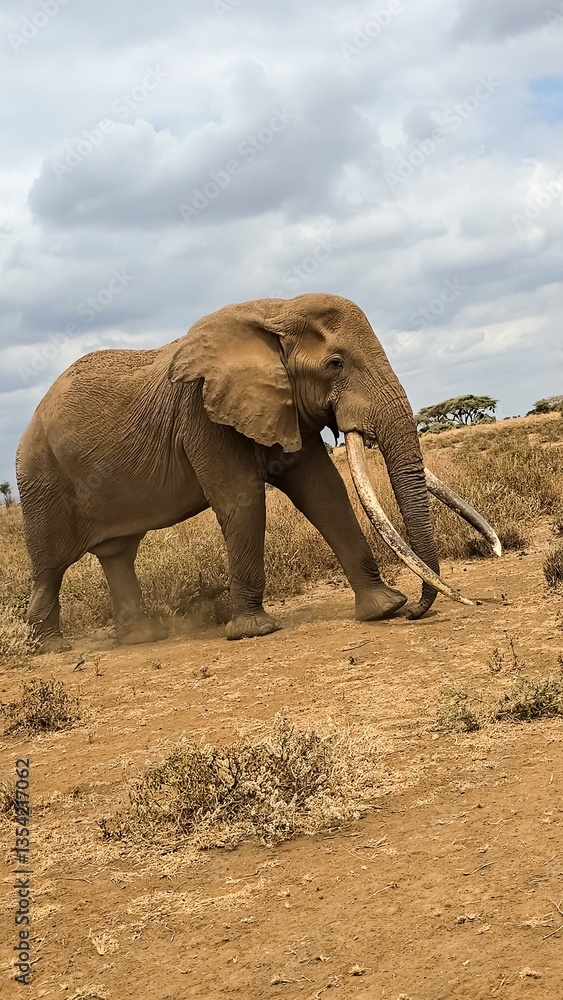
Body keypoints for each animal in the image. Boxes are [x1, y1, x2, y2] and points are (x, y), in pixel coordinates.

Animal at [16, 293, 501, 651]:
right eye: (336, 364)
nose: (419, 610)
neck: (274, 312)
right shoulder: (202, 414)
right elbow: (244, 500)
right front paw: (252, 632)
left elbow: (324, 492)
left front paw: (383, 609)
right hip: (40, 478)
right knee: (50, 564)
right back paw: (51, 648)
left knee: (118, 553)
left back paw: (141, 639)